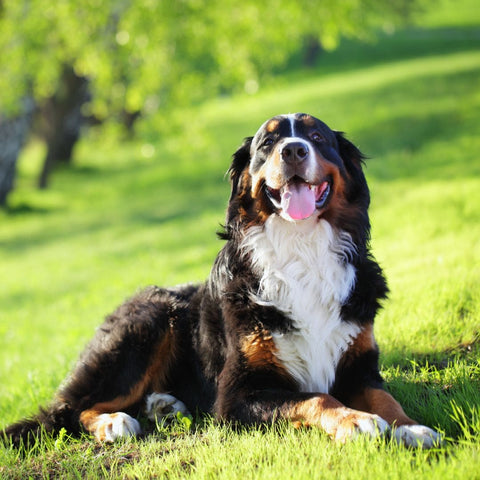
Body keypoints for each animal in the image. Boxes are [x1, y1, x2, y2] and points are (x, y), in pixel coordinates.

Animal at [2, 112, 442, 446]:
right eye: (267, 144)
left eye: (317, 136)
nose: (293, 150)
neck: (301, 249)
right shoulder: (237, 394)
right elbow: (316, 397)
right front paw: (356, 420)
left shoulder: (360, 365)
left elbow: (385, 399)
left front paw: (412, 427)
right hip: (151, 319)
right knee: (75, 408)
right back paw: (115, 423)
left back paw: (163, 405)